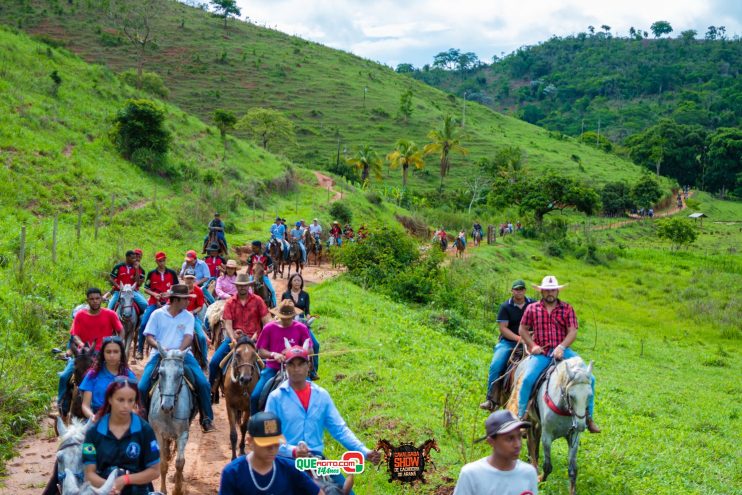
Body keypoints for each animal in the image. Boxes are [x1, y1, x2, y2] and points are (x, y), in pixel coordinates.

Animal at [148, 342, 193, 495]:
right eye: (160, 373)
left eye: (181, 374)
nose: (167, 406)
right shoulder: (158, 433)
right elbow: (162, 463)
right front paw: (163, 490)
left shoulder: (183, 434)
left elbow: (180, 462)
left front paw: (177, 489)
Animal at [516, 356, 596, 495]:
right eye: (571, 396)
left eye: (589, 396)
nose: (581, 426)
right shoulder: (547, 436)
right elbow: (548, 466)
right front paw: (540, 480)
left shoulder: (573, 437)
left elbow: (573, 470)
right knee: (531, 441)